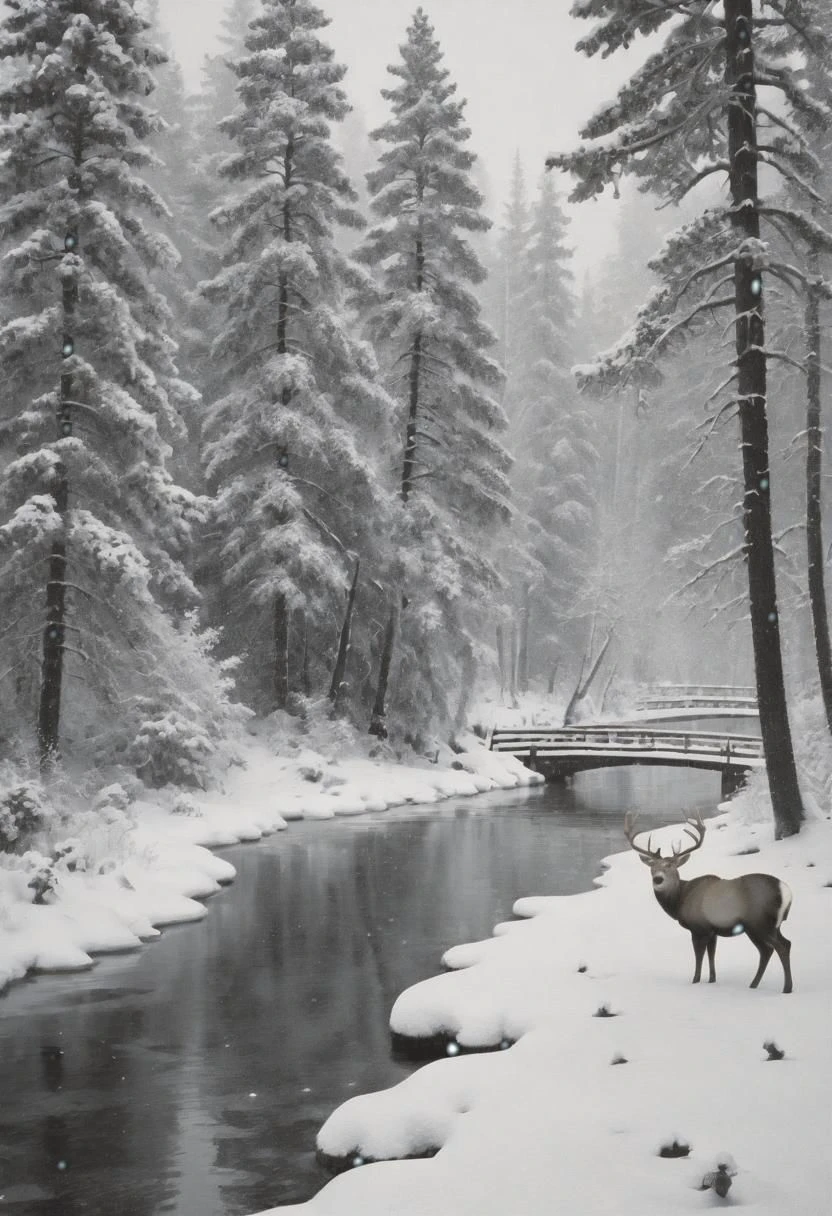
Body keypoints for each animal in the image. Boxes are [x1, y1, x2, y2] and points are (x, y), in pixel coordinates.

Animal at [624, 811, 793, 993]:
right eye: (652, 866)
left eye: (671, 866)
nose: (658, 879)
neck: (680, 899)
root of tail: (786, 891)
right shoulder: (713, 931)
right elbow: (712, 955)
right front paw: (712, 980)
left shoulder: (698, 928)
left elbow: (699, 957)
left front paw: (695, 981)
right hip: (768, 926)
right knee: (775, 947)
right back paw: (754, 984)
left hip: (759, 922)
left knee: (778, 947)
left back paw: (786, 988)